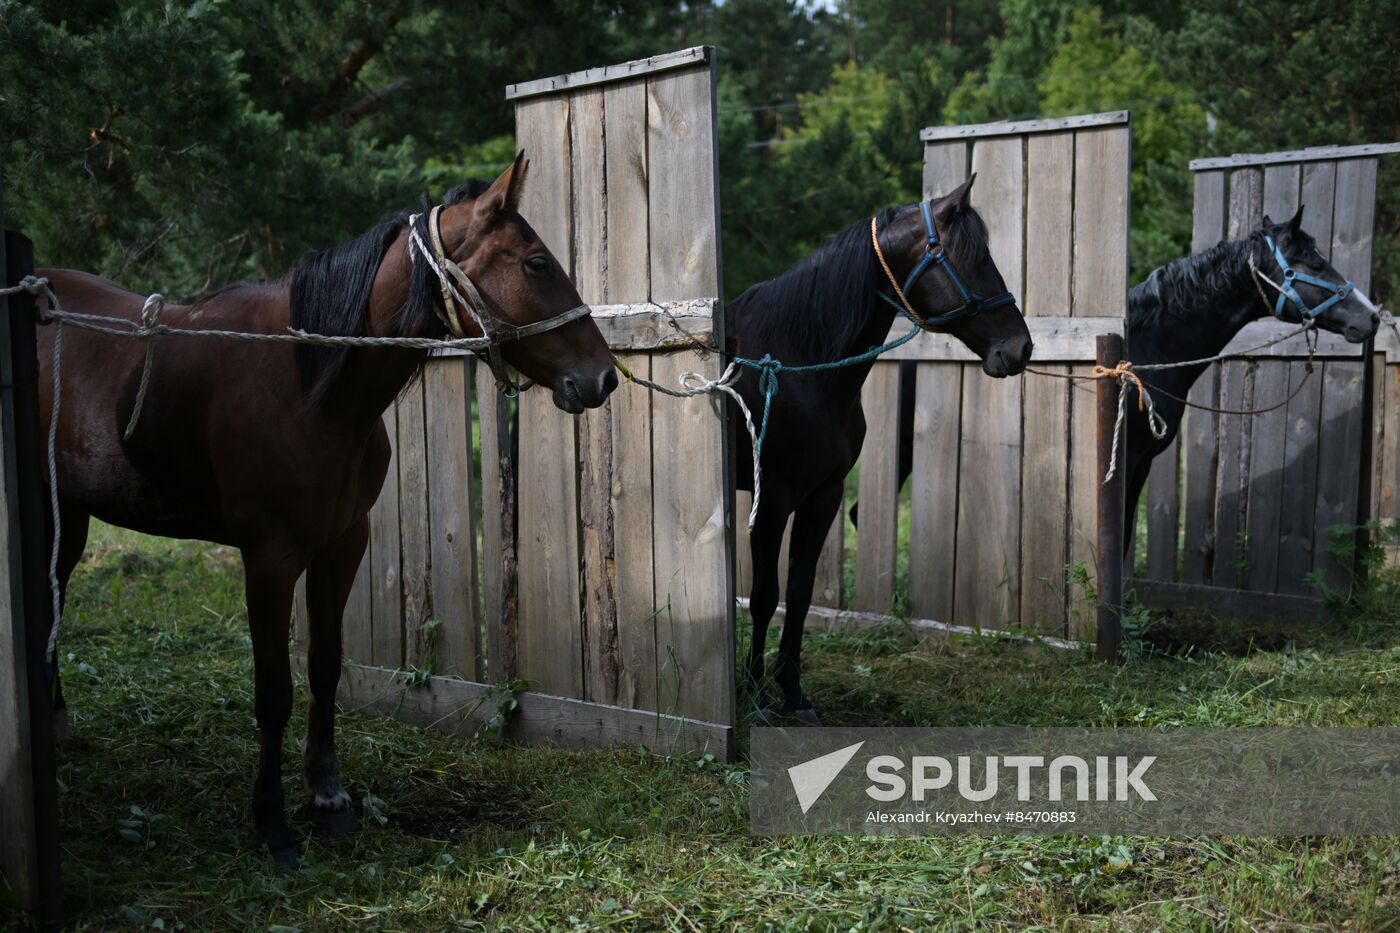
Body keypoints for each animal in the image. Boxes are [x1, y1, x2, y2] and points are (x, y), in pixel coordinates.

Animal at [36, 154, 618, 867]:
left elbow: (325, 668)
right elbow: (273, 690)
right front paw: (272, 819)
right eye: (536, 263)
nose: (602, 376)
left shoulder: (342, 546)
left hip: (69, 514)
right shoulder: (269, 559)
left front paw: (328, 797)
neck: (308, 384)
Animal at [729, 175, 1033, 724]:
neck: (798, 361)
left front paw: (794, 693)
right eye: (976, 259)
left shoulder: (823, 495)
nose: (1020, 348)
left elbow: (799, 592)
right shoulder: (773, 499)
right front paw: (758, 694)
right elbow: (764, 596)